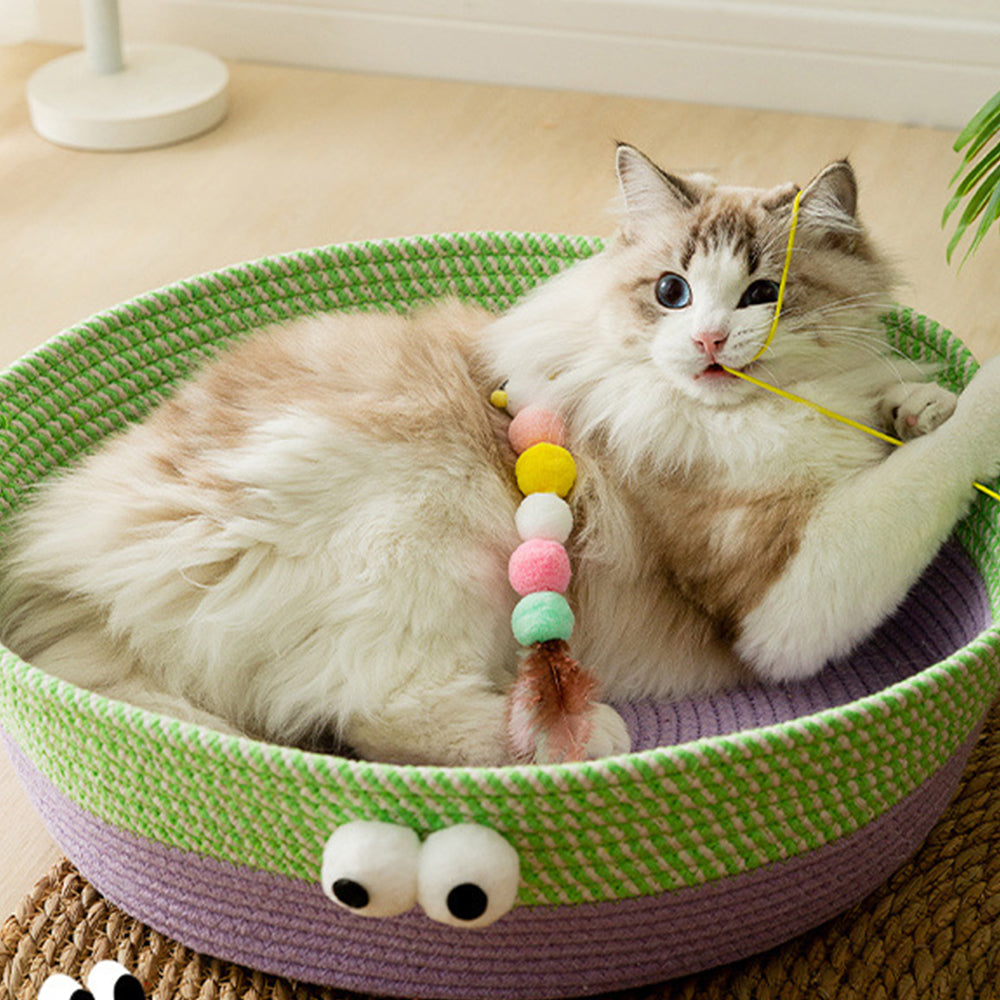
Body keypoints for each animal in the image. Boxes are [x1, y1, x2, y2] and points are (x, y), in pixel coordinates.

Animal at [1, 143, 1000, 764]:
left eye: (764, 294)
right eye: (671, 292)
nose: (711, 342)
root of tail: (69, 565)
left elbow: (901, 422)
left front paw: (918, 402)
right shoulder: (782, 599)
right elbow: (920, 476)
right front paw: (978, 400)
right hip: (430, 532)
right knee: (373, 719)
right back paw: (584, 739)